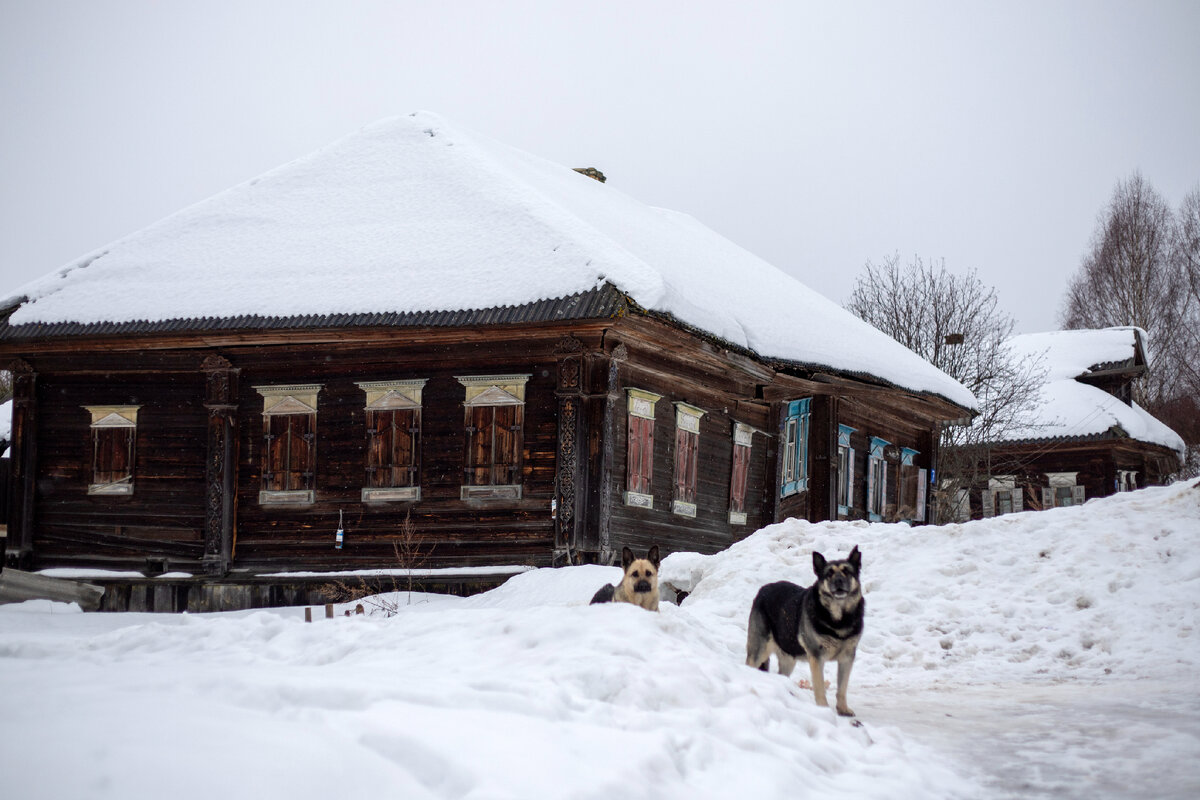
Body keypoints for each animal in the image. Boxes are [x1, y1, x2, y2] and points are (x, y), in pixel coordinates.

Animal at [739, 546, 864, 714]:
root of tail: (763, 589)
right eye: (829, 574)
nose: (838, 581)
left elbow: (842, 688)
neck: (839, 618)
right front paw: (823, 709)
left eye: (847, 572)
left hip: (788, 659)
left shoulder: (847, 658)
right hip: (759, 651)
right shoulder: (816, 658)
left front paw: (843, 709)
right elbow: (819, 687)